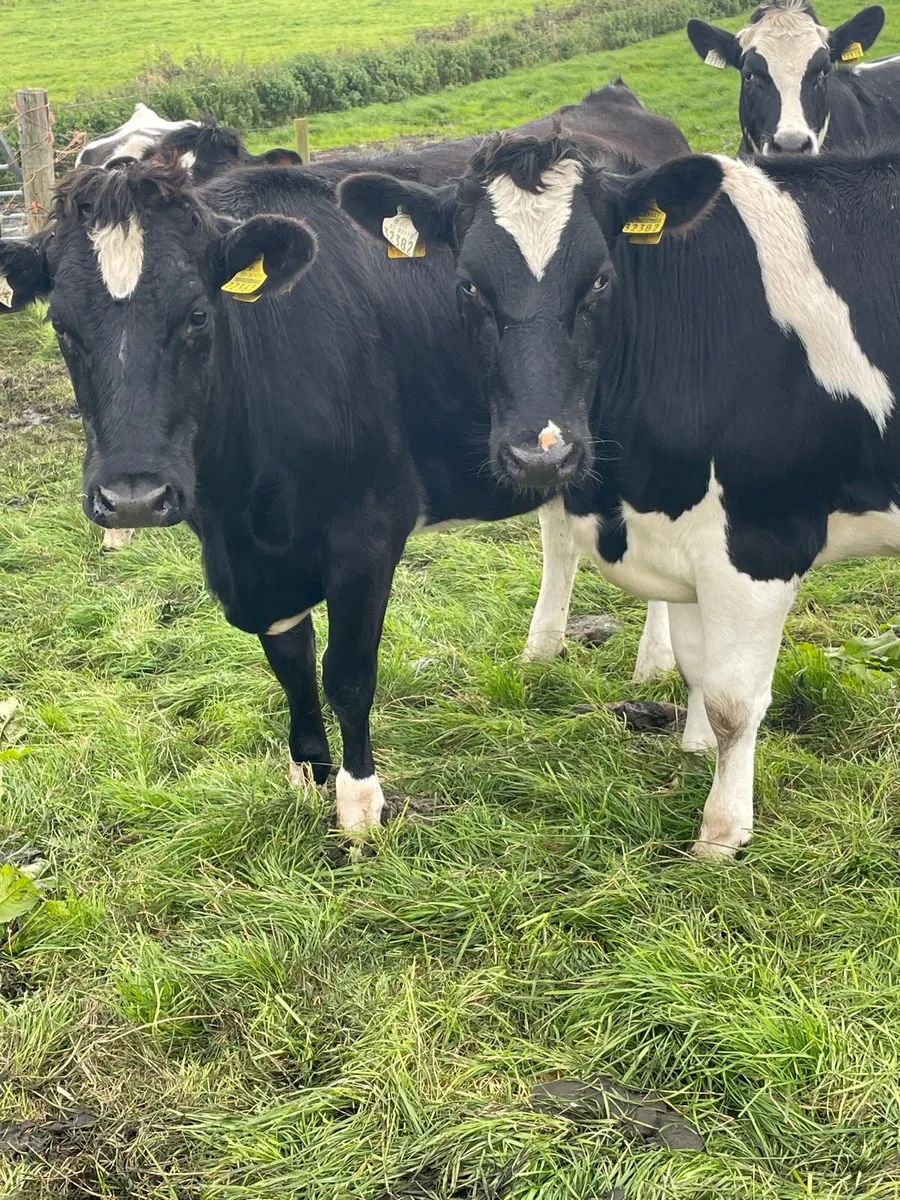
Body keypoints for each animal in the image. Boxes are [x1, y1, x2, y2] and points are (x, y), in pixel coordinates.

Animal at [0, 91, 686, 833]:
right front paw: (307, 772)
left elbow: (348, 672)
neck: (241, 506)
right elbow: (291, 663)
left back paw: (656, 661)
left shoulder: (367, 532)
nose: (132, 498)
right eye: (62, 327)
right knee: (560, 527)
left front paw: (359, 803)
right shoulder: (252, 560)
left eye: (197, 315)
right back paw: (542, 647)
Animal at [338, 134, 900, 856]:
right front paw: (693, 754)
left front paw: (720, 834)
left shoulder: (762, 539)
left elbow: (732, 698)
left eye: (601, 279)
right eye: (468, 285)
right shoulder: (683, 536)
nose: (541, 453)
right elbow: (696, 665)